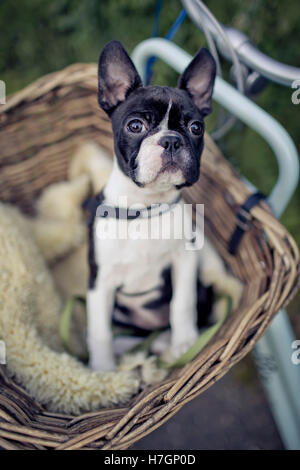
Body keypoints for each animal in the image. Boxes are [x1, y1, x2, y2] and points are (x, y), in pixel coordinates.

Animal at [86, 40, 239, 370]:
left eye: (196, 128)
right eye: (135, 126)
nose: (170, 140)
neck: (145, 208)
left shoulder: (184, 260)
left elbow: (181, 304)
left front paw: (184, 343)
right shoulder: (99, 282)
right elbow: (99, 329)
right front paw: (102, 369)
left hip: (203, 291)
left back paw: (164, 344)